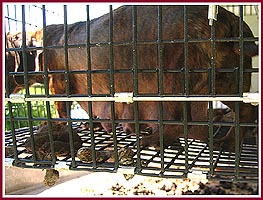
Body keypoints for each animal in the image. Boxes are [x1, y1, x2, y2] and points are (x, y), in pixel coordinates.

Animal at [7, 5, 258, 150]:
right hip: (229, 82)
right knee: (245, 112)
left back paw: (152, 140)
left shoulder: (58, 84)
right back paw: (229, 141)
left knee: (179, 125)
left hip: (171, 83)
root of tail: (229, 21)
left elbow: (62, 110)